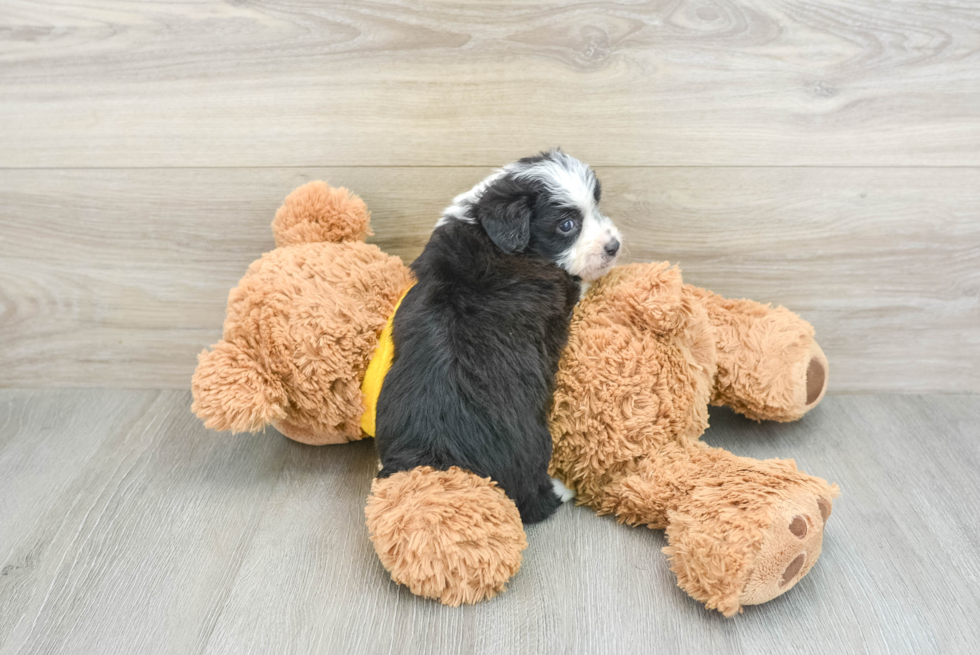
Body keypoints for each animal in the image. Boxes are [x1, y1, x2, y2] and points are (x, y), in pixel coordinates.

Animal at [376, 151, 620, 524]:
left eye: (596, 205)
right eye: (566, 225)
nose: (614, 246)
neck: (490, 233)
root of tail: (442, 459)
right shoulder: (561, 290)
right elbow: (580, 282)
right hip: (535, 444)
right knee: (533, 500)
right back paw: (561, 488)